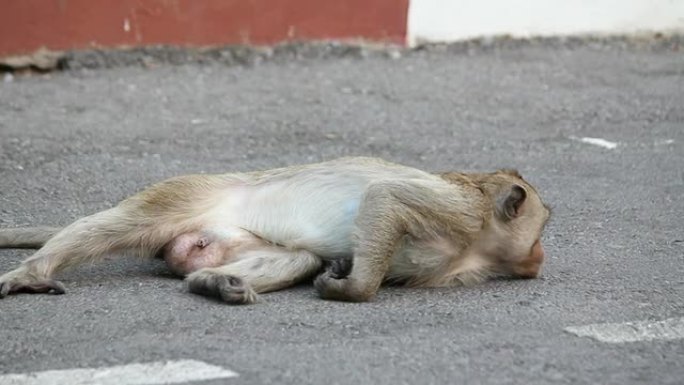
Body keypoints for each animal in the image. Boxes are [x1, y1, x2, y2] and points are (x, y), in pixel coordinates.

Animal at [0, 156, 552, 304]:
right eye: (542, 227)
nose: (540, 256)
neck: (478, 245)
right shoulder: (459, 211)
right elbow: (385, 198)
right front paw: (352, 289)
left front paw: (343, 275)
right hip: (186, 194)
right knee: (114, 225)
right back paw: (32, 272)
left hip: (222, 239)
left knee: (298, 256)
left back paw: (213, 283)